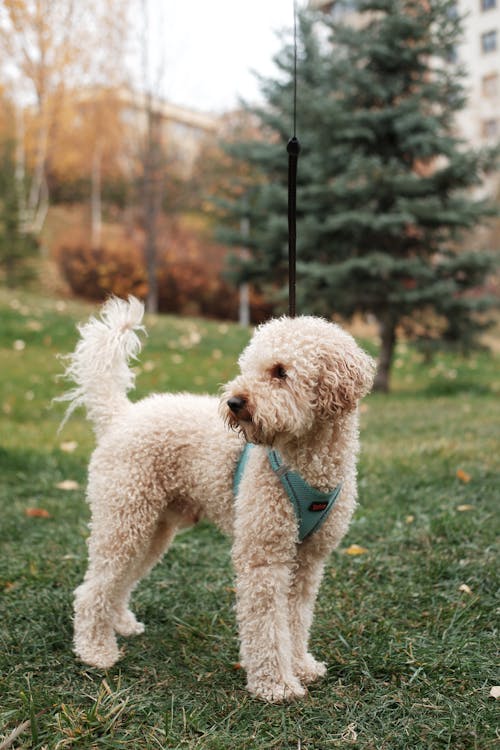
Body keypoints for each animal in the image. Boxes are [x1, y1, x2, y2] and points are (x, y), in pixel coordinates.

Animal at [59, 298, 376, 704]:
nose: (234, 402)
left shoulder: (307, 560)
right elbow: (267, 627)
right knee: (91, 589)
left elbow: (295, 619)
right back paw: (95, 650)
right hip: (124, 517)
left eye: (280, 372)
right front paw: (275, 685)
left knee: (118, 581)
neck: (306, 460)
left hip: (152, 527)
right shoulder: (263, 557)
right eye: (248, 367)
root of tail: (121, 416)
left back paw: (120, 624)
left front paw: (302, 666)